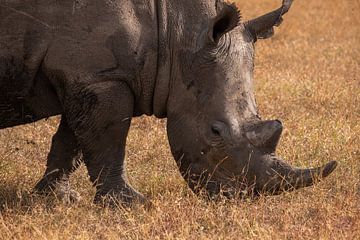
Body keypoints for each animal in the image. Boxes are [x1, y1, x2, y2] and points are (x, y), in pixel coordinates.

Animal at [0, 0, 338, 204]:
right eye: (215, 132)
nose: (236, 197)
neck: (173, 31)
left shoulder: (87, 76)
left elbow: (71, 142)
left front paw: (54, 199)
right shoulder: (102, 77)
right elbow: (109, 142)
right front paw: (131, 204)